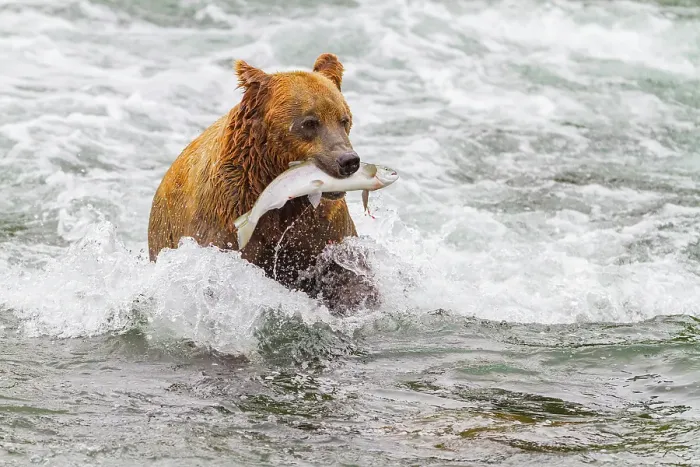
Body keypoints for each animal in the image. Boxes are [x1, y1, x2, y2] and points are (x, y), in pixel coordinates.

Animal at [147, 53, 380, 314]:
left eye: (344, 119)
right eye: (310, 122)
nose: (348, 161)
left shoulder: (321, 227)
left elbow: (347, 272)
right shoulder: (224, 218)